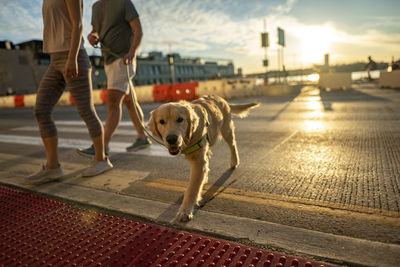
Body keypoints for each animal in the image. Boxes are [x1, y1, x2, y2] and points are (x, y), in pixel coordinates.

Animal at [148, 95, 260, 223]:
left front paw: (185, 210)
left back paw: (234, 161)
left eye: (180, 119)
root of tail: (221, 98)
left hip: (227, 130)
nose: (171, 139)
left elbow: (192, 188)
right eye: (161, 122)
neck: (189, 137)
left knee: (233, 145)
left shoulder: (198, 161)